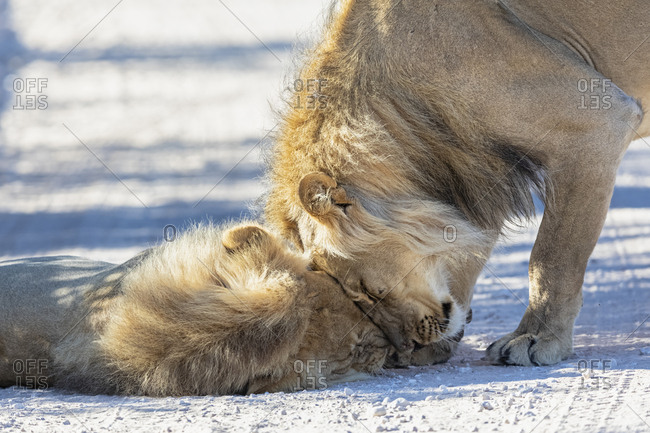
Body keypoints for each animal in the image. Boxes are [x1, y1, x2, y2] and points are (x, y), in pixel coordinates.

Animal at [265, 0, 648, 366]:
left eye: (367, 290)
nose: (405, 348)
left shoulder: (597, 125)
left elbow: (551, 260)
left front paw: (537, 339)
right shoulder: (477, 174)